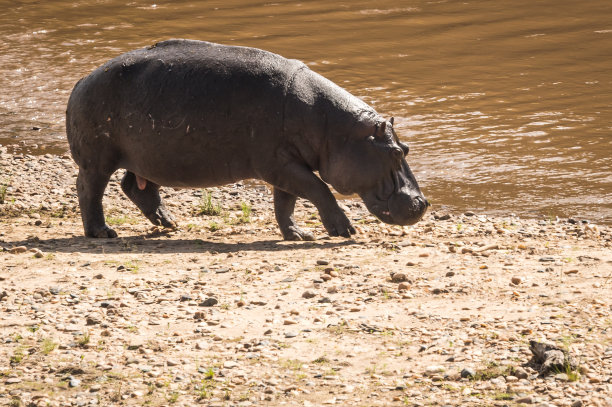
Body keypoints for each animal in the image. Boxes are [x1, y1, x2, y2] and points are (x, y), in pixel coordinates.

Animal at [65, 39, 426, 239]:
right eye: (395, 153)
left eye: (406, 148)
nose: (423, 203)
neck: (335, 130)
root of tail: (81, 80)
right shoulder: (279, 164)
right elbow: (318, 189)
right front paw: (346, 230)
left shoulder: (287, 164)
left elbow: (286, 202)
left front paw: (299, 234)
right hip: (98, 159)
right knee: (89, 190)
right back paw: (102, 232)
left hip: (147, 158)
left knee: (135, 186)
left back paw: (169, 223)